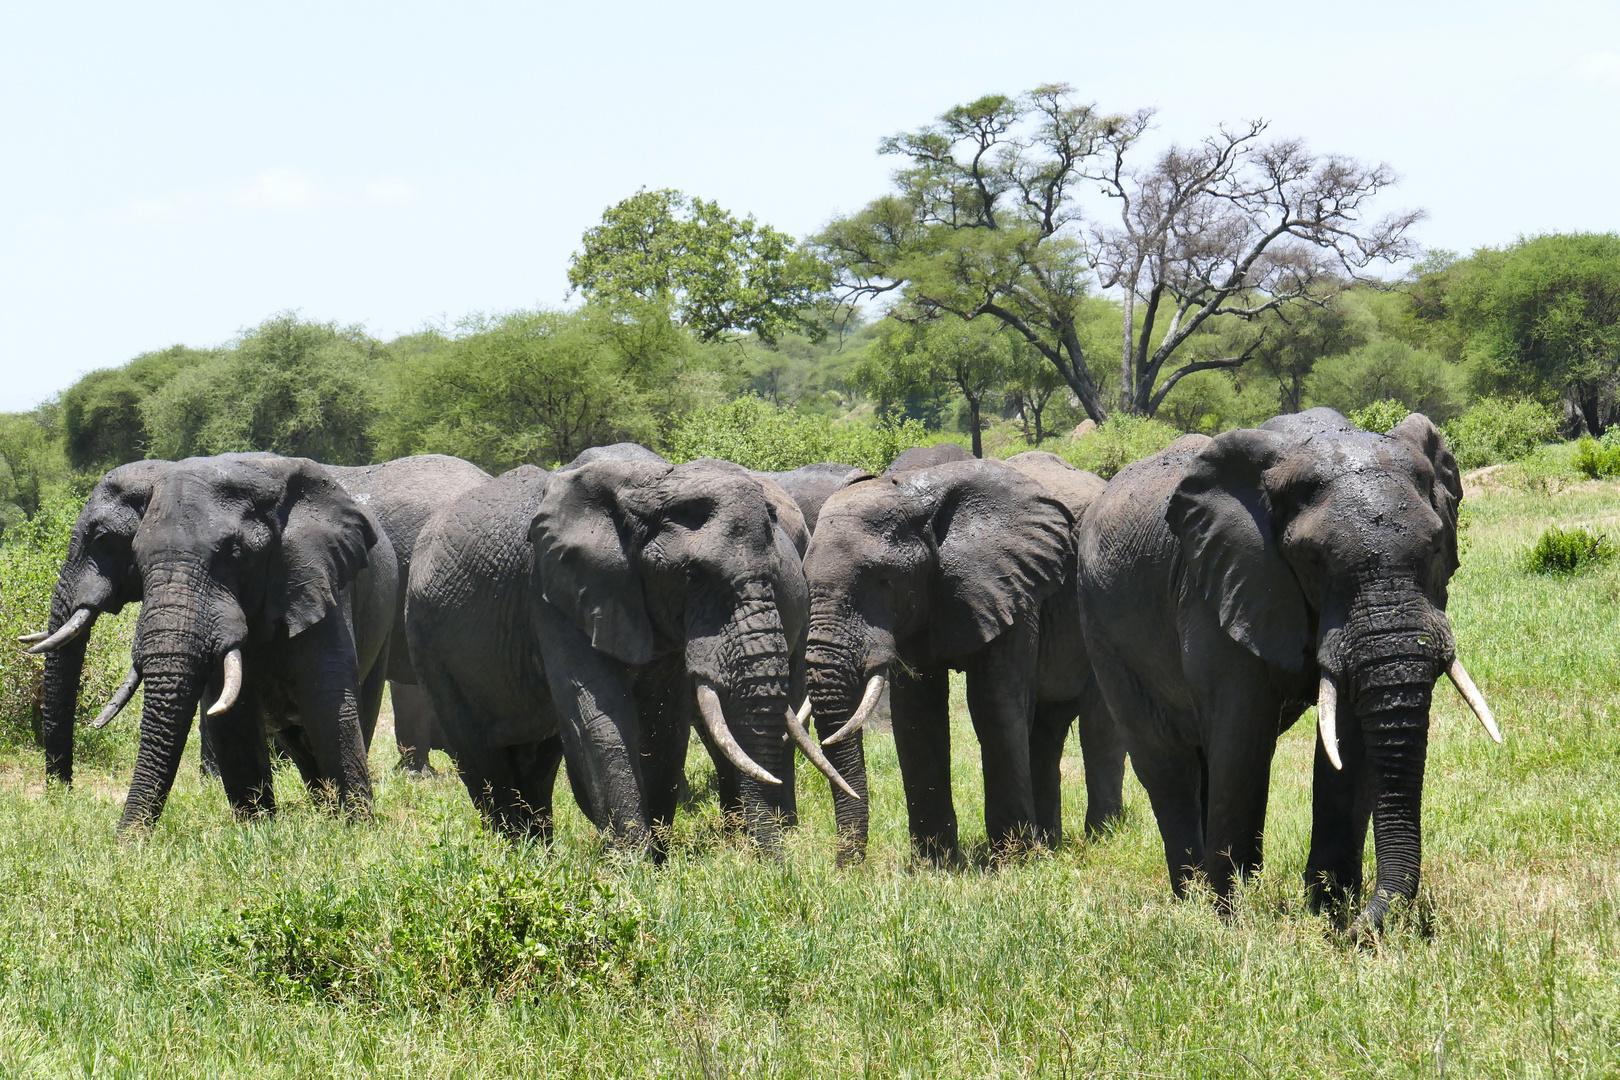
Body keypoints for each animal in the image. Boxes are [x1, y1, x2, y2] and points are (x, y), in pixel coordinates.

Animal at [24, 453, 395, 835]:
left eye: (235, 553)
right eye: (136, 557)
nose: (62, 797)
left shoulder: (316, 577)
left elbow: (328, 702)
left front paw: (357, 831)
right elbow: (233, 717)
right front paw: (257, 831)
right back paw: (322, 808)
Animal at [405, 446, 848, 854]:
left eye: (779, 573)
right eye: (692, 576)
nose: (772, 863)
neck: (648, 486)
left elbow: (662, 724)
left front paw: (655, 858)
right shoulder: (554, 592)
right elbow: (600, 719)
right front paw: (632, 867)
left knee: (535, 758)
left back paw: (538, 851)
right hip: (427, 639)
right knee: (480, 754)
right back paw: (515, 851)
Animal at [800, 453, 1127, 867]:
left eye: (883, 580)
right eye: (805, 578)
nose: (848, 869)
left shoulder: (1015, 587)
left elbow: (993, 703)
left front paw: (1012, 862)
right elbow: (916, 713)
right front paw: (934, 864)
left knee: (1099, 728)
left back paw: (1101, 837)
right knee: (1045, 731)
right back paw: (1049, 844)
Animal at [1075, 409, 1503, 932]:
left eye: (1438, 546)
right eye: (1313, 559)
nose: (1362, 932)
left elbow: (1349, 743)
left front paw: (1331, 913)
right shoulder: (1224, 584)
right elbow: (1243, 737)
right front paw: (1234, 922)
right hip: (1100, 625)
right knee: (1165, 759)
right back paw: (1192, 900)